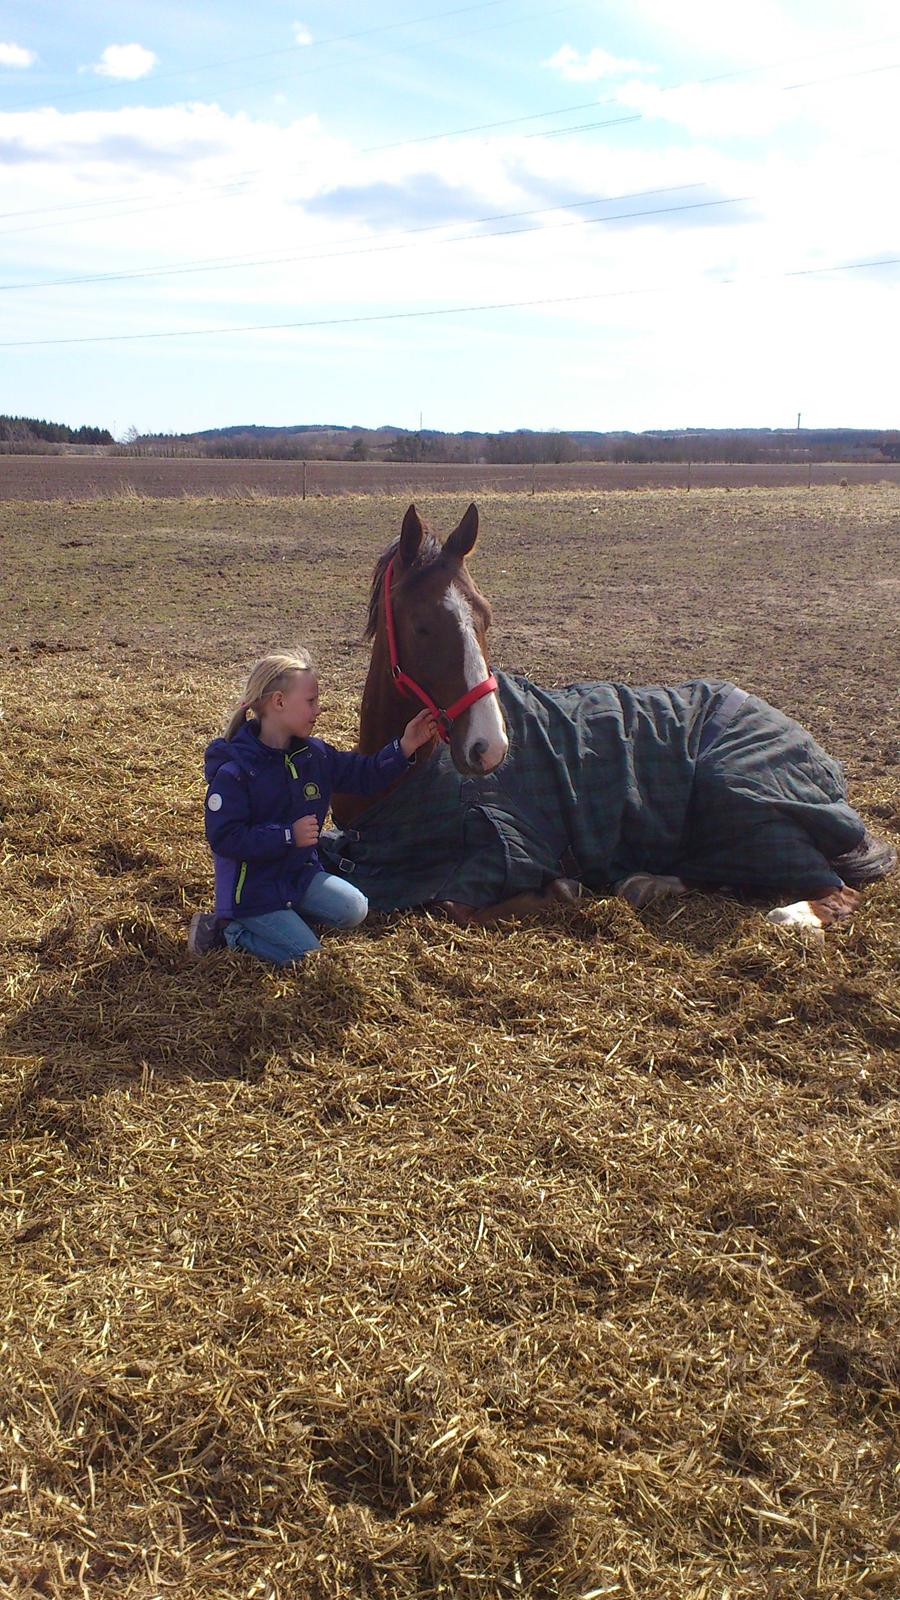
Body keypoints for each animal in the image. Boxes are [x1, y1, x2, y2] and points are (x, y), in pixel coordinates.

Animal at [328, 502, 890, 934]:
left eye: (485, 617)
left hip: (741, 800)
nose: (490, 747)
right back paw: (649, 881)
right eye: (423, 626)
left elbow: (457, 905)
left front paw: (563, 887)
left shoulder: (501, 849)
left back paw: (793, 915)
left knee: (832, 890)